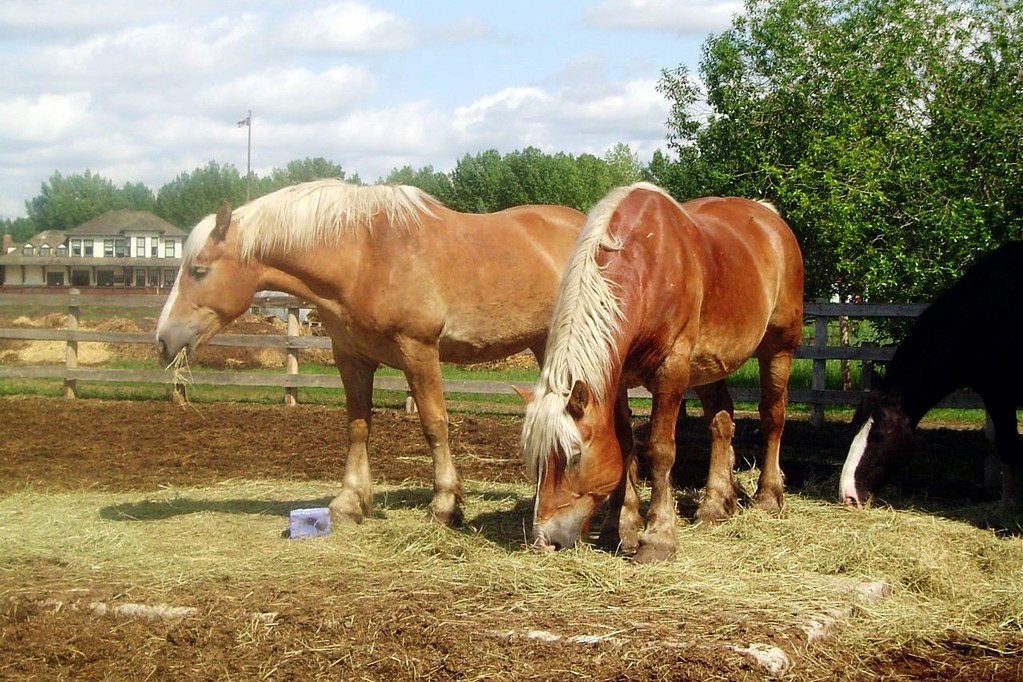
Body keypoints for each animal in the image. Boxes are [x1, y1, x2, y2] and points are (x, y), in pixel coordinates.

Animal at [156, 179, 585, 527]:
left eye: (199, 269)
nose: (163, 341)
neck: (364, 257)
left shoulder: (419, 351)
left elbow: (435, 425)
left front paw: (445, 505)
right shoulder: (351, 357)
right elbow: (358, 427)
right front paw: (350, 501)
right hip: (543, 343)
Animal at [520, 182, 804, 562]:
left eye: (574, 456)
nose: (544, 540)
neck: (647, 267)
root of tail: (769, 217)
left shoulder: (671, 373)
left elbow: (660, 449)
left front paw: (658, 537)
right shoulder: (617, 380)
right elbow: (625, 446)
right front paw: (619, 527)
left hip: (779, 348)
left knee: (773, 415)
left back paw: (769, 497)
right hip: (710, 365)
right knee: (721, 423)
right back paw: (715, 505)